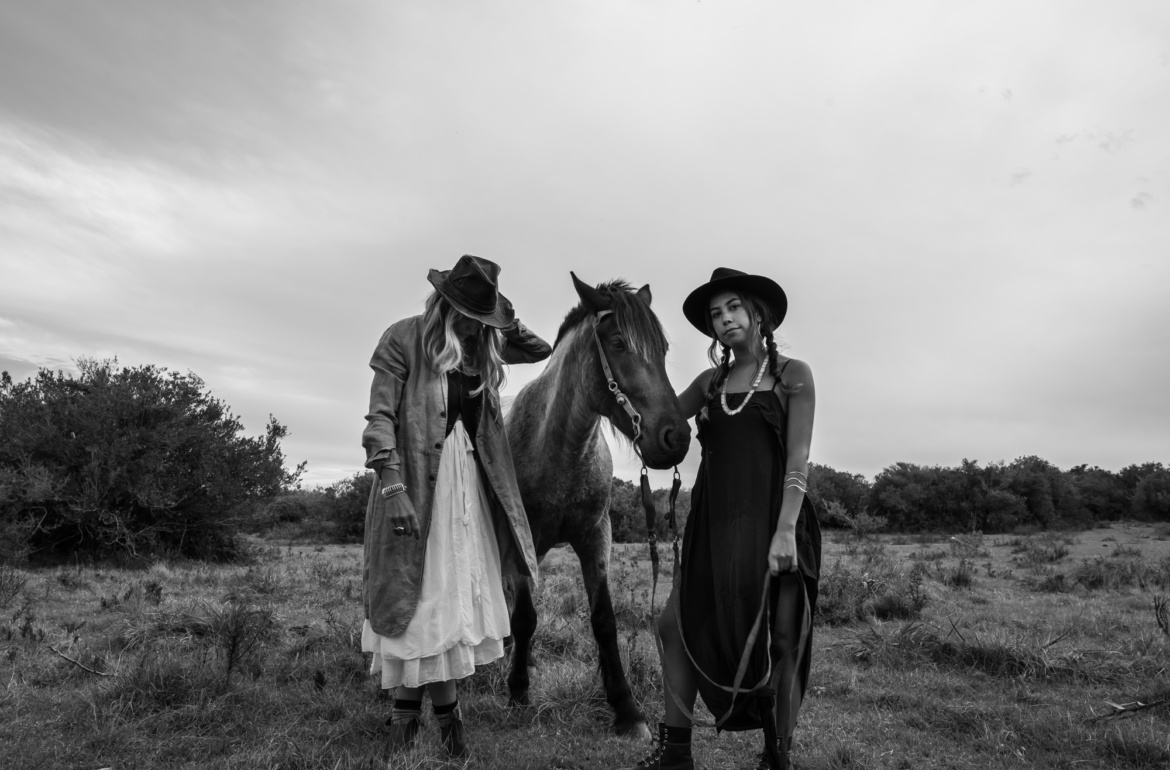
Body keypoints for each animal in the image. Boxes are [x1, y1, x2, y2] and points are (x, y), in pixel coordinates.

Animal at [505, 273, 692, 738]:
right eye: (618, 342)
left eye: (663, 349)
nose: (677, 437)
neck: (557, 450)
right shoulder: (522, 541)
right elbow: (525, 617)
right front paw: (518, 692)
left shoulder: (595, 536)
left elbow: (604, 621)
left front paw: (627, 709)